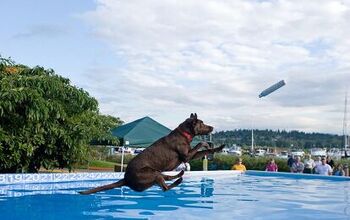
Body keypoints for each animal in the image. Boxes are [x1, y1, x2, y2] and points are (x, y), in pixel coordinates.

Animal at [79, 113, 224, 194]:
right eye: (202, 123)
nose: (212, 127)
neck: (184, 134)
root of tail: (126, 179)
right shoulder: (187, 156)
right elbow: (201, 145)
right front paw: (207, 143)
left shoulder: (191, 155)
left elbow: (205, 151)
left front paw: (218, 148)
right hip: (151, 173)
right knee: (165, 188)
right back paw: (178, 180)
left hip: (156, 172)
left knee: (166, 178)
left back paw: (179, 174)